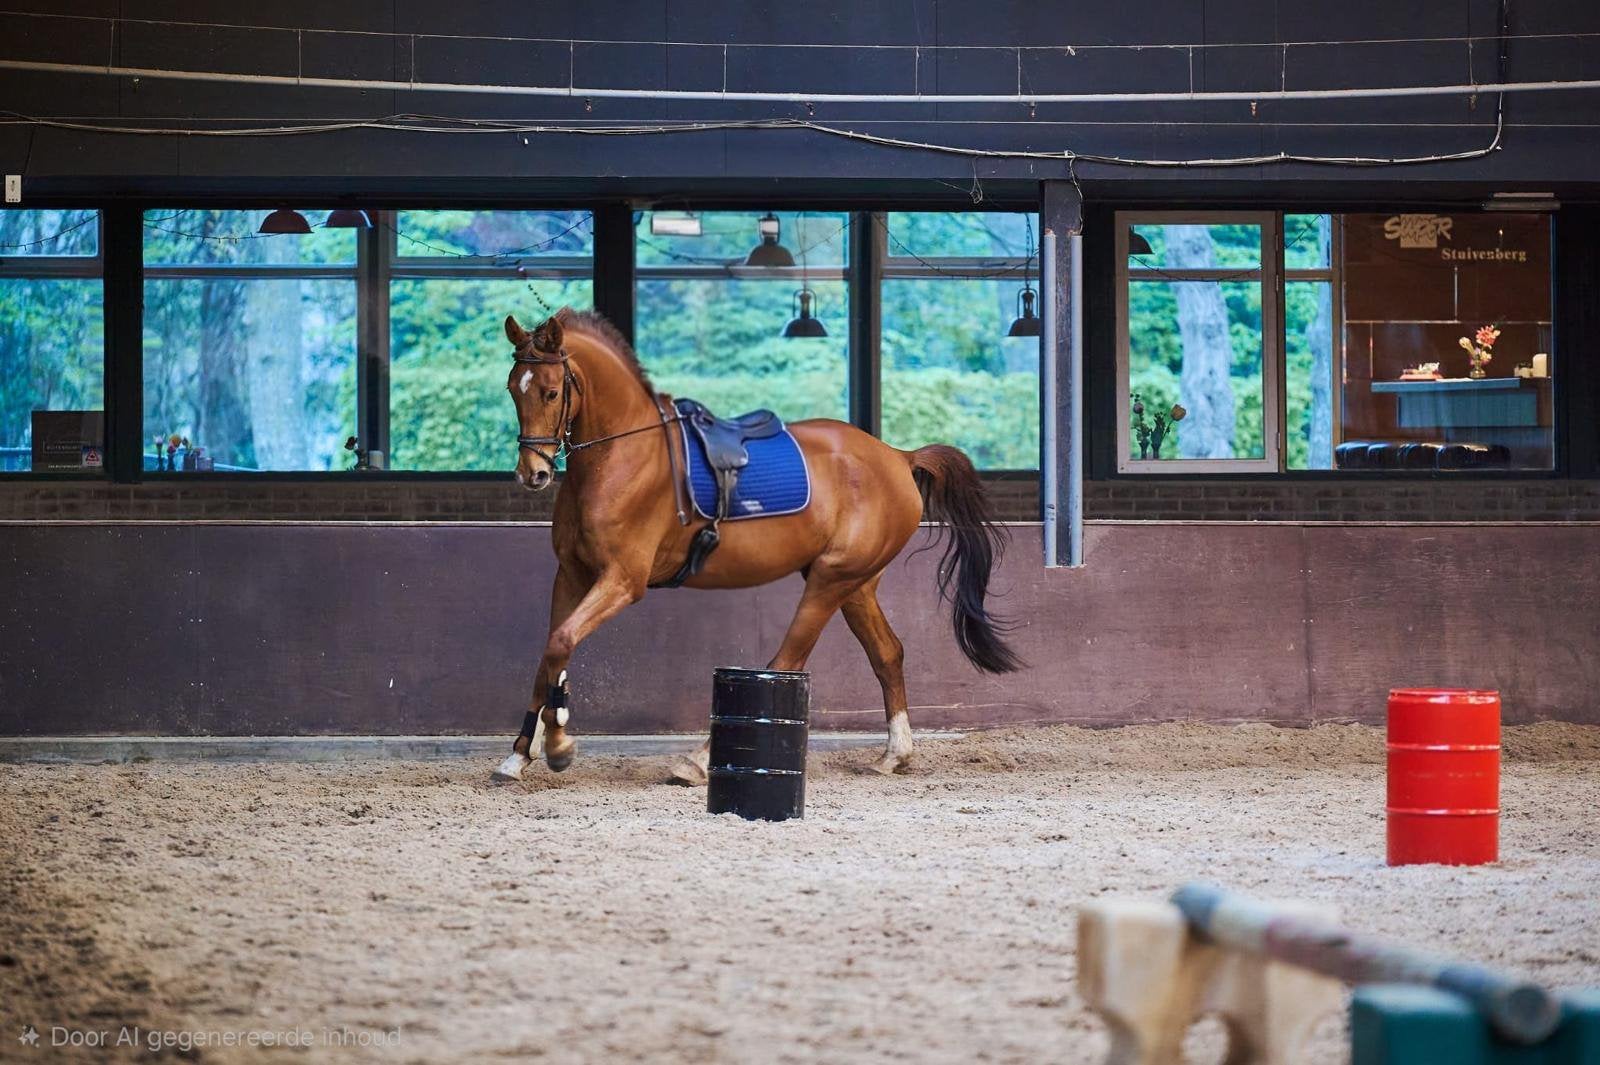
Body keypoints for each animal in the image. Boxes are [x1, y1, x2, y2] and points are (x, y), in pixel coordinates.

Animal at [491, 307, 1021, 785]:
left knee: (788, 660)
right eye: (513, 389)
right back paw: (895, 755)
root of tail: (897, 456)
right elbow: (549, 654)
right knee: (887, 653)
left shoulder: (622, 580)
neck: (620, 455)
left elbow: (561, 643)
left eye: (551, 391)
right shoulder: (572, 575)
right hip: (856, 585)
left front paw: (559, 745)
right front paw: (519, 756)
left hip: (832, 579)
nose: (532, 474)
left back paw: (697, 762)